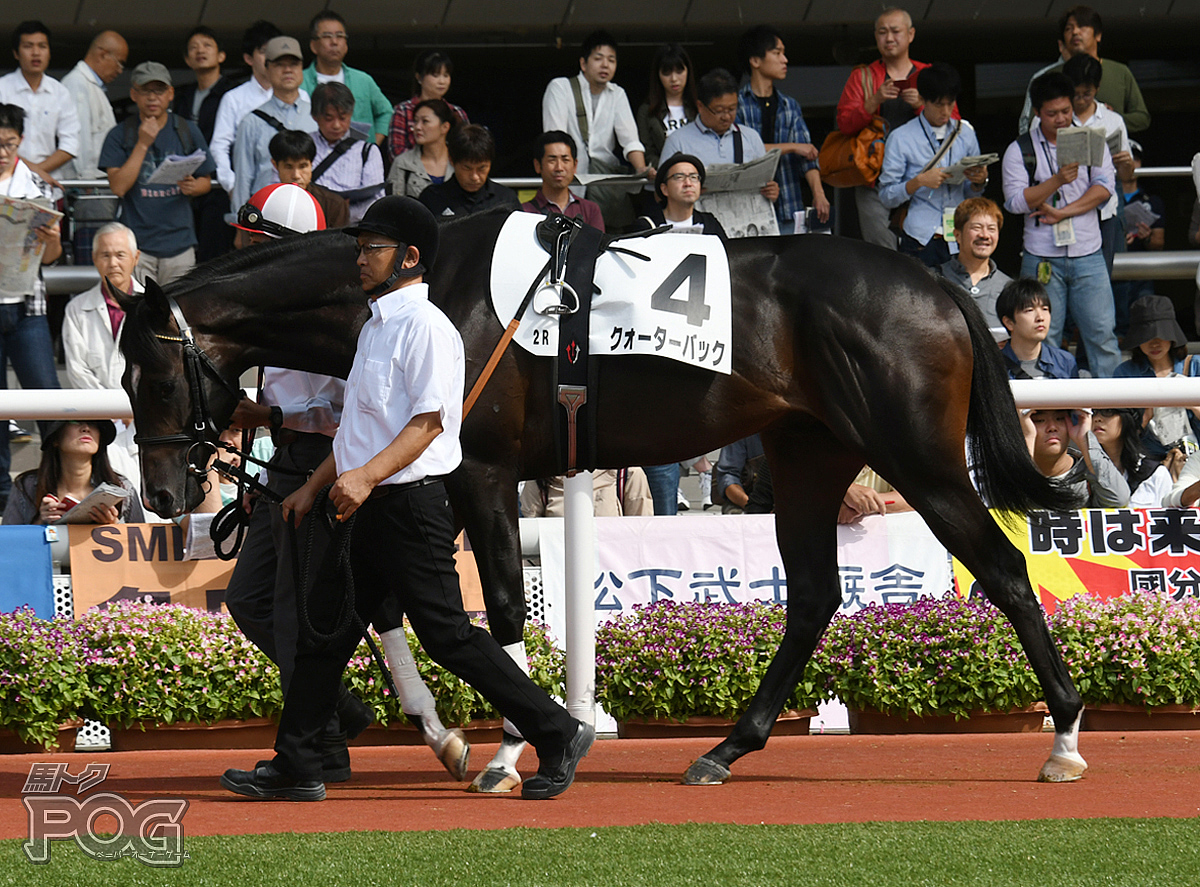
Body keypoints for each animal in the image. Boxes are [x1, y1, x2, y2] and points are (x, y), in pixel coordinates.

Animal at [119, 210, 1089, 792]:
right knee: (814, 595)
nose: (164, 493)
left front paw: (511, 750)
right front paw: (438, 732)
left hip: (918, 459)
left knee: (1004, 569)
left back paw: (1066, 738)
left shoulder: (477, 468)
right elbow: (382, 603)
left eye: (154, 376)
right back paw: (727, 746)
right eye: (126, 379)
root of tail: (942, 287)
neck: (430, 291)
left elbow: (495, 605)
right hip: (810, 454)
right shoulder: (425, 477)